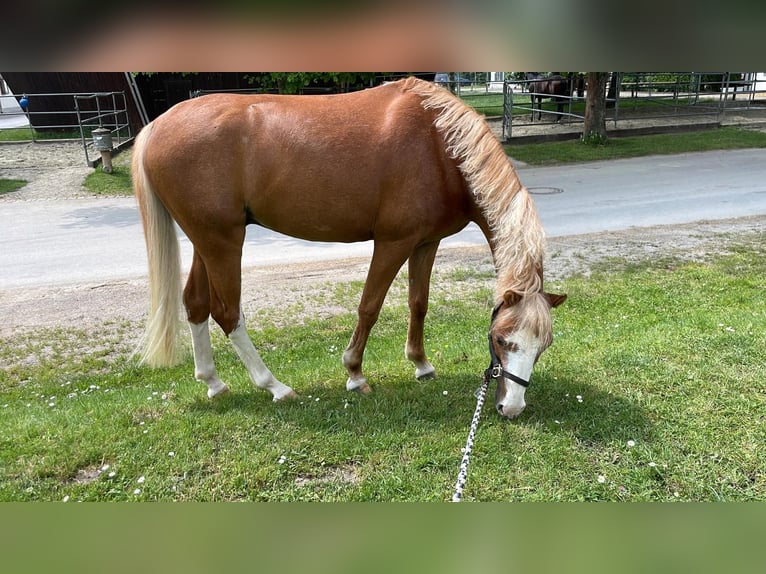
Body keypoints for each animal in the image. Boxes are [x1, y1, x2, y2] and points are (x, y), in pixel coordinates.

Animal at [132, 76, 568, 418]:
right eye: (501, 340)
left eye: (543, 346)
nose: (512, 407)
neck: (439, 145)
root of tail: (157, 126)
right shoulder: (393, 243)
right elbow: (369, 306)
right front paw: (355, 373)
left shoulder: (426, 242)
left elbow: (418, 302)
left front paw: (421, 364)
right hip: (222, 241)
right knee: (227, 313)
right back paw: (274, 386)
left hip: (206, 241)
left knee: (195, 303)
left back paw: (213, 382)